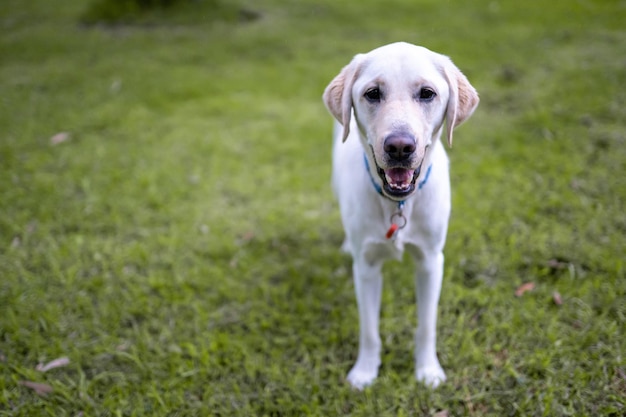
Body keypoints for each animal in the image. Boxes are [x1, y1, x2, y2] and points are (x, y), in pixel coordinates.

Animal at [322, 41, 478, 386]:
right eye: (372, 93)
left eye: (427, 93)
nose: (399, 147)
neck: (398, 205)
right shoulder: (366, 266)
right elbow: (369, 329)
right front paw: (365, 372)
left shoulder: (431, 262)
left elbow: (426, 325)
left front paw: (428, 370)